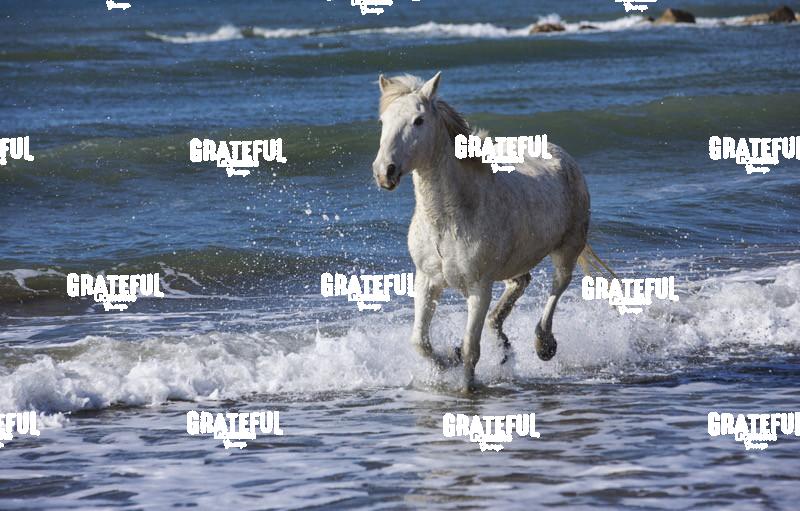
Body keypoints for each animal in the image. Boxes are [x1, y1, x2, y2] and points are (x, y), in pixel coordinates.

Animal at [372, 72, 609, 391]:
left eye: (418, 121)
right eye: (383, 121)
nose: (384, 171)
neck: (448, 220)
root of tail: (561, 153)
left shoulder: (479, 287)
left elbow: (471, 348)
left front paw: (466, 387)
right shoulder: (426, 280)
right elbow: (420, 342)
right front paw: (449, 360)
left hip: (568, 247)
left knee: (558, 285)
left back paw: (544, 344)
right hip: (517, 260)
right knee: (519, 283)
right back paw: (503, 340)